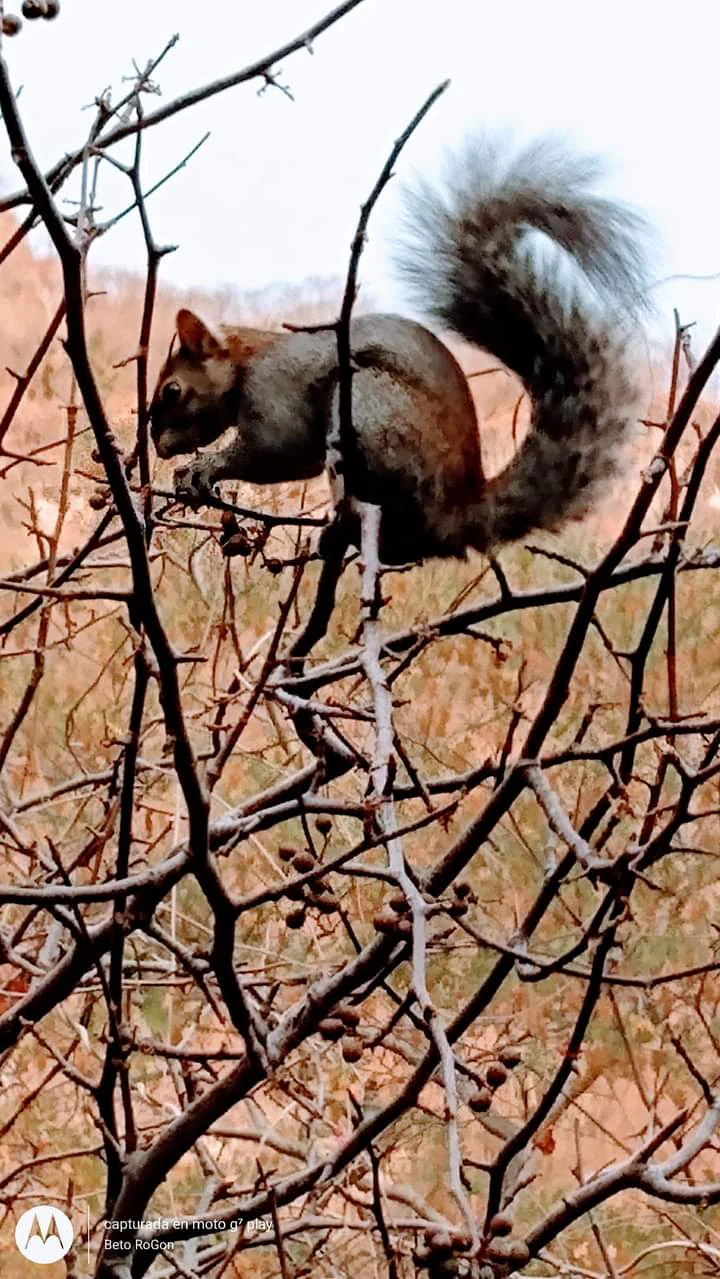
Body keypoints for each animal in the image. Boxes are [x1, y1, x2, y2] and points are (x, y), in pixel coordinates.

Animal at [150, 138, 648, 566]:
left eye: (172, 391)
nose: (156, 446)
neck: (248, 361)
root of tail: (455, 514)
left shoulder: (276, 389)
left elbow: (277, 447)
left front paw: (204, 468)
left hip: (372, 410)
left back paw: (345, 529)